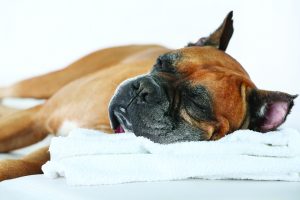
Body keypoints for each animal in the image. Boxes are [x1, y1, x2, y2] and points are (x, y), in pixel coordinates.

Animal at [0, 11, 296, 181]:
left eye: (197, 102)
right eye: (162, 62)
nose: (143, 88)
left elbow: (25, 162)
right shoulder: (36, 117)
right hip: (44, 83)